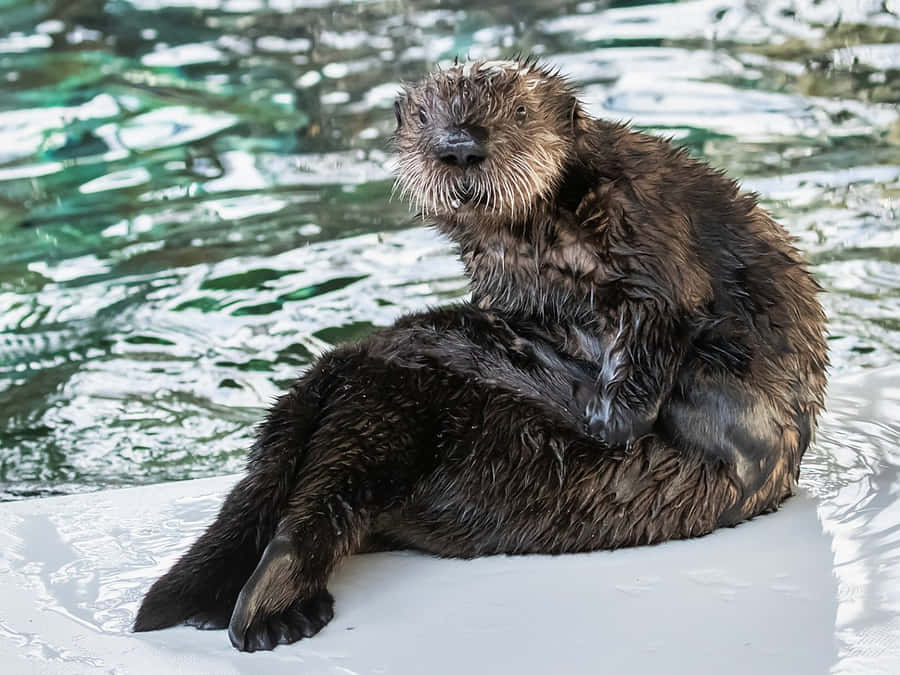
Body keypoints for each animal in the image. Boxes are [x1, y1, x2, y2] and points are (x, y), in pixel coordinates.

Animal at [133, 58, 827, 651]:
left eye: (516, 111)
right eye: (424, 116)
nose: (461, 145)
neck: (541, 240)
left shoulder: (651, 241)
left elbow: (672, 341)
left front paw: (608, 415)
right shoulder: (511, 289)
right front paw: (494, 342)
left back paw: (268, 607)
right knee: (290, 452)